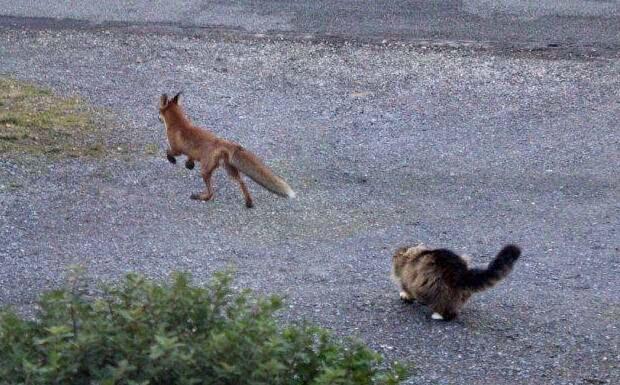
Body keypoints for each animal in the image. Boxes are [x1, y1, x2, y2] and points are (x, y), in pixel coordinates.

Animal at [160, 92, 296, 207]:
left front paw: (172, 160)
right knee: (242, 181)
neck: (178, 123)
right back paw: (249, 202)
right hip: (229, 169)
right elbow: (190, 157)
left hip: (206, 171)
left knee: (211, 193)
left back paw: (200, 197)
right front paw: (189, 164)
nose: (158, 118)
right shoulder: (191, 151)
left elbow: (168, 152)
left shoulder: (176, 148)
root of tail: (223, 142)